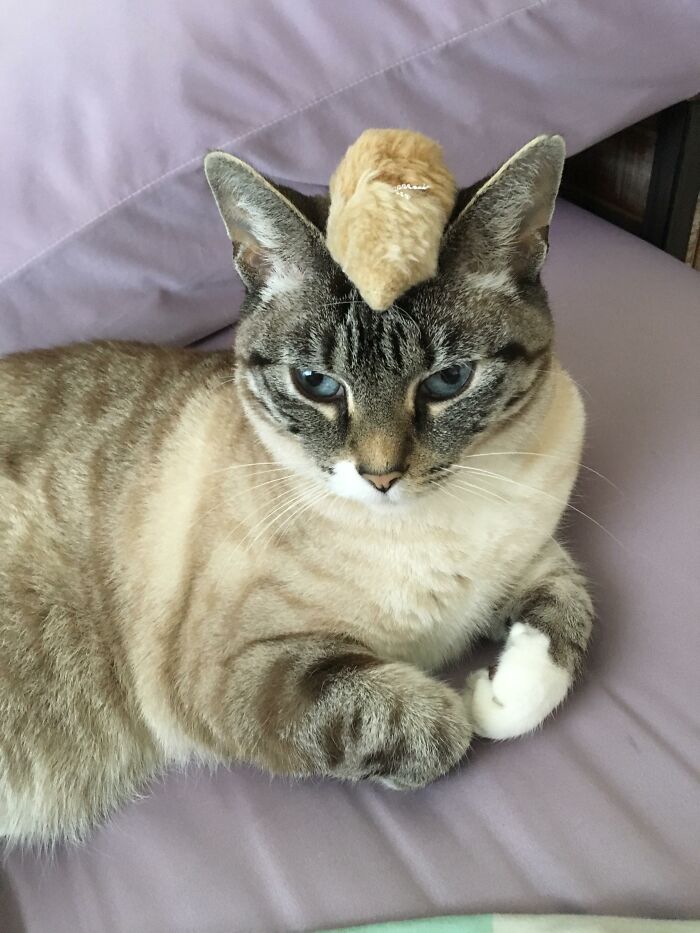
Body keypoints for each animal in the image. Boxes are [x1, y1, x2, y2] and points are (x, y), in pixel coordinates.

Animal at [0, 133, 592, 844]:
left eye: (448, 381)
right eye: (317, 384)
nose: (381, 475)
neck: (419, 524)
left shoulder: (533, 553)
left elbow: (560, 635)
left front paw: (494, 690)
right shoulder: (238, 672)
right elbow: (434, 729)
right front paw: (466, 694)